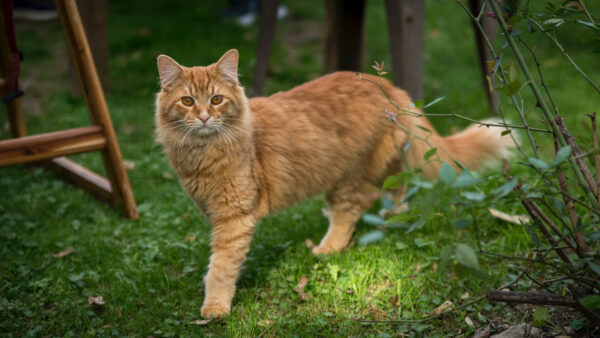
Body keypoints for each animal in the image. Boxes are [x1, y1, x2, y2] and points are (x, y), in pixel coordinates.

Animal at [156, 49, 516, 316]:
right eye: (188, 102)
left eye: (216, 100)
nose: (204, 117)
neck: (202, 154)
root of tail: (387, 86)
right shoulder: (212, 212)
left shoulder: (233, 218)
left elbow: (220, 266)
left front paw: (215, 307)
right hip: (381, 161)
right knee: (397, 186)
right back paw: (394, 215)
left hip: (346, 175)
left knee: (352, 210)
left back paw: (327, 247)